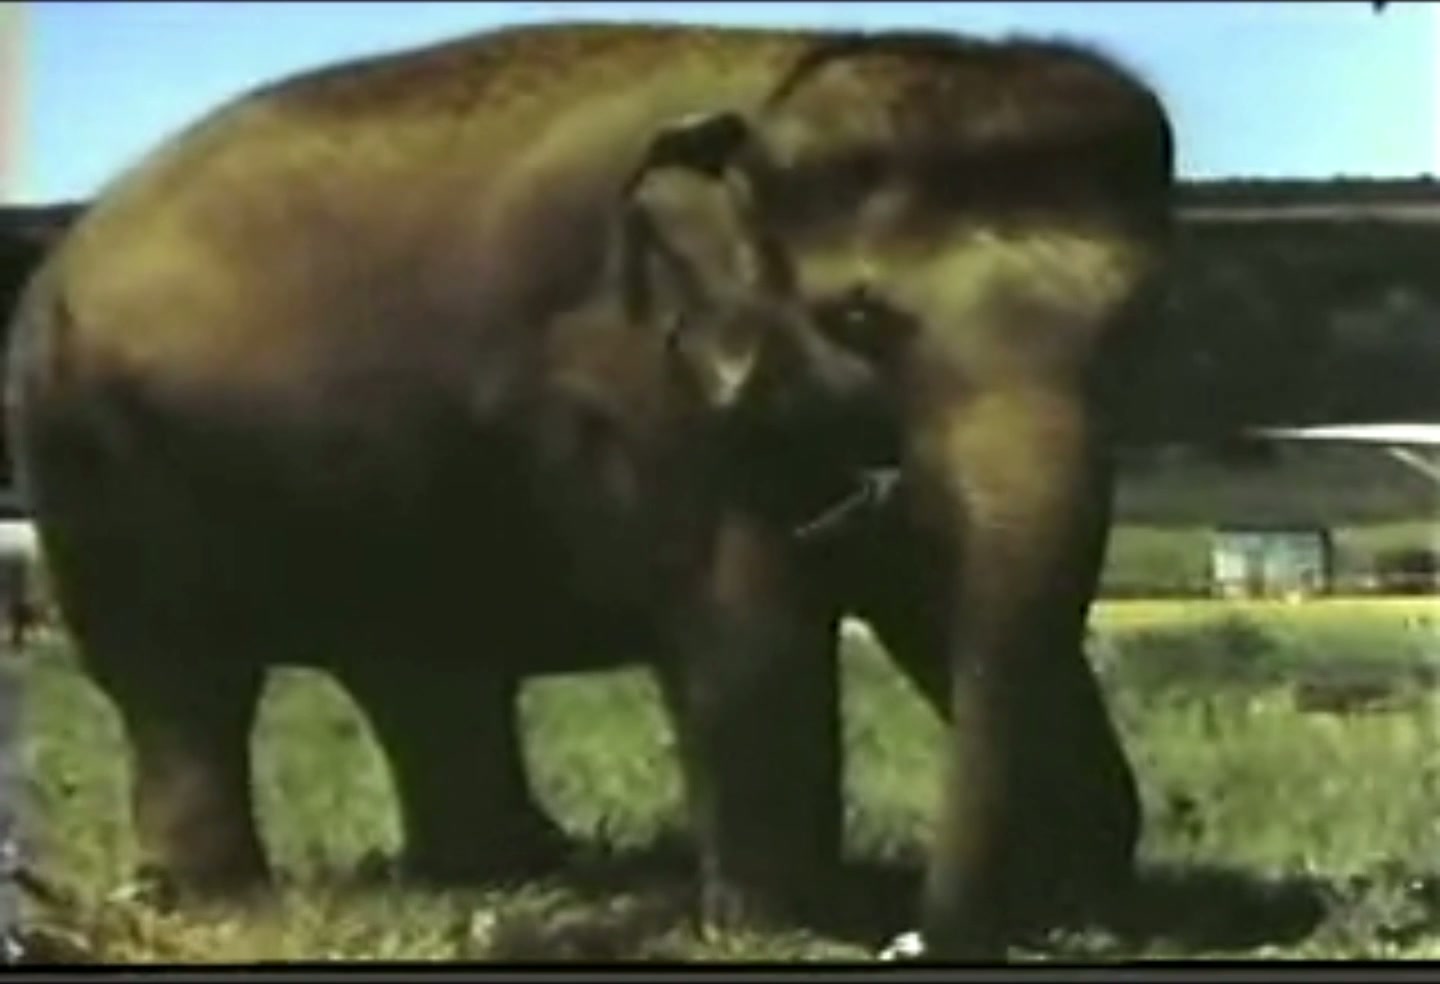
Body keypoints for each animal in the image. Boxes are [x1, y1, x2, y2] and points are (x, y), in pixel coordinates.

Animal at [6, 22, 1174, 958]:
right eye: (859, 322)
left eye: (1135, 322)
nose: (926, 936)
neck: (777, 98)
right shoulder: (639, 385)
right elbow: (749, 630)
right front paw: (785, 931)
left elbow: (951, 607)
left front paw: (1092, 906)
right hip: (92, 467)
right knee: (176, 680)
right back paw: (227, 904)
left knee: (424, 672)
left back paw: (515, 870)